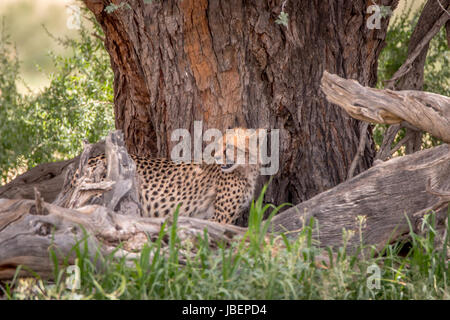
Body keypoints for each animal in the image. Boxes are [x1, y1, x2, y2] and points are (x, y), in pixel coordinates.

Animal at [73, 129, 264, 224]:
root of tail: (94, 158)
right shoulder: (220, 218)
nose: (216, 157)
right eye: (217, 146)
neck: (246, 169)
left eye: (229, 147)